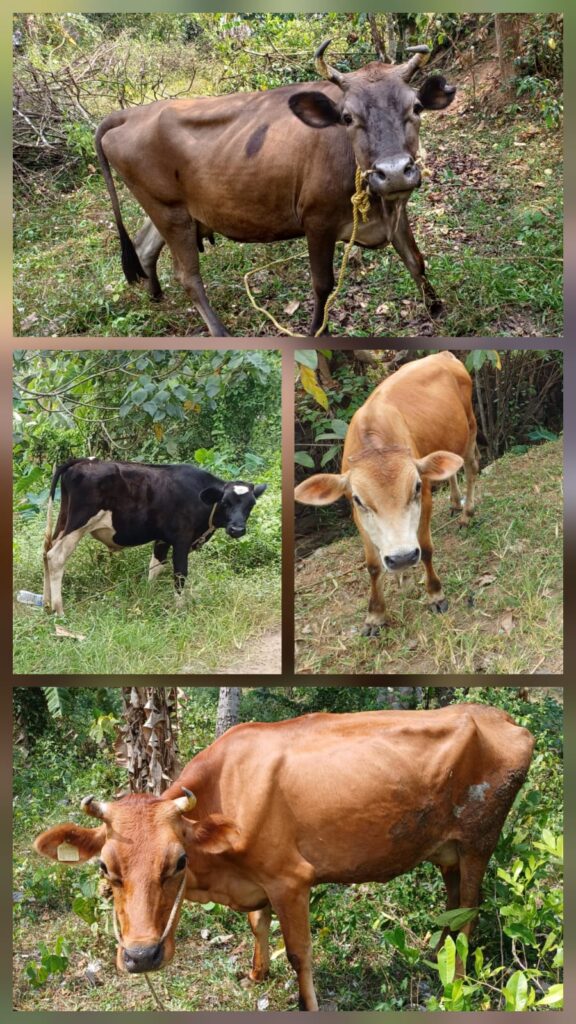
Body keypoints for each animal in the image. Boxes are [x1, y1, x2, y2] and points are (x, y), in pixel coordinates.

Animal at [34, 704, 534, 1011]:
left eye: (178, 862)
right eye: (105, 867)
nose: (140, 956)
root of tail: (504, 718)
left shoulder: (291, 880)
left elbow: (299, 952)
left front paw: (307, 1003)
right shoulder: (258, 881)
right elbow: (258, 923)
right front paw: (257, 975)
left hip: (479, 842)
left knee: (468, 913)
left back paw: (457, 978)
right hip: (446, 850)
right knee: (452, 907)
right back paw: (436, 955)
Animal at [42, 457, 266, 614]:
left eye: (251, 504)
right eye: (225, 502)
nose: (237, 529)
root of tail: (82, 461)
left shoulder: (162, 539)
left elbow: (155, 567)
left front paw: (147, 597)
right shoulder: (181, 539)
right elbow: (180, 573)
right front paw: (180, 608)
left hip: (63, 521)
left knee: (46, 552)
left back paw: (45, 604)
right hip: (79, 523)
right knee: (56, 557)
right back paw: (59, 610)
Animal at [94, 40, 456, 338]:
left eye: (416, 108)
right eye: (347, 117)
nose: (393, 172)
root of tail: (131, 113)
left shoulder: (396, 208)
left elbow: (415, 259)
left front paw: (436, 307)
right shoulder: (317, 221)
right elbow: (322, 284)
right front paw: (317, 331)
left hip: (169, 209)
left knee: (144, 247)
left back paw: (155, 295)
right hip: (169, 212)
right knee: (188, 276)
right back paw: (220, 332)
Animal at [295, 352, 479, 635]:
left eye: (415, 487)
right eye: (358, 499)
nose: (403, 558)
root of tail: (445, 355)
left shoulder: (425, 499)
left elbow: (426, 549)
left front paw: (435, 594)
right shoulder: (358, 516)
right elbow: (373, 565)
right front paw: (376, 614)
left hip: (470, 428)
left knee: (470, 468)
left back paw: (467, 512)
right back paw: (455, 503)